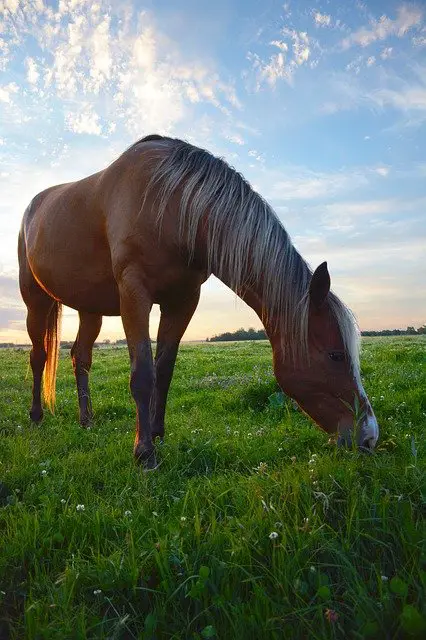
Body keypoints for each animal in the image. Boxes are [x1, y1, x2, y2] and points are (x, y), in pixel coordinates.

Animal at [19, 132, 380, 468]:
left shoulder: (183, 300)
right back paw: (36, 417)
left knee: (80, 358)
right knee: (39, 356)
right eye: (335, 355)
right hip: (36, 301)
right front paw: (144, 452)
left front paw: (157, 434)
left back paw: (87, 421)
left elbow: (164, 371)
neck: (169, 202)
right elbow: (143, 373)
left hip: (89, 308)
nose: (369, 437)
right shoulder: (134, 293)